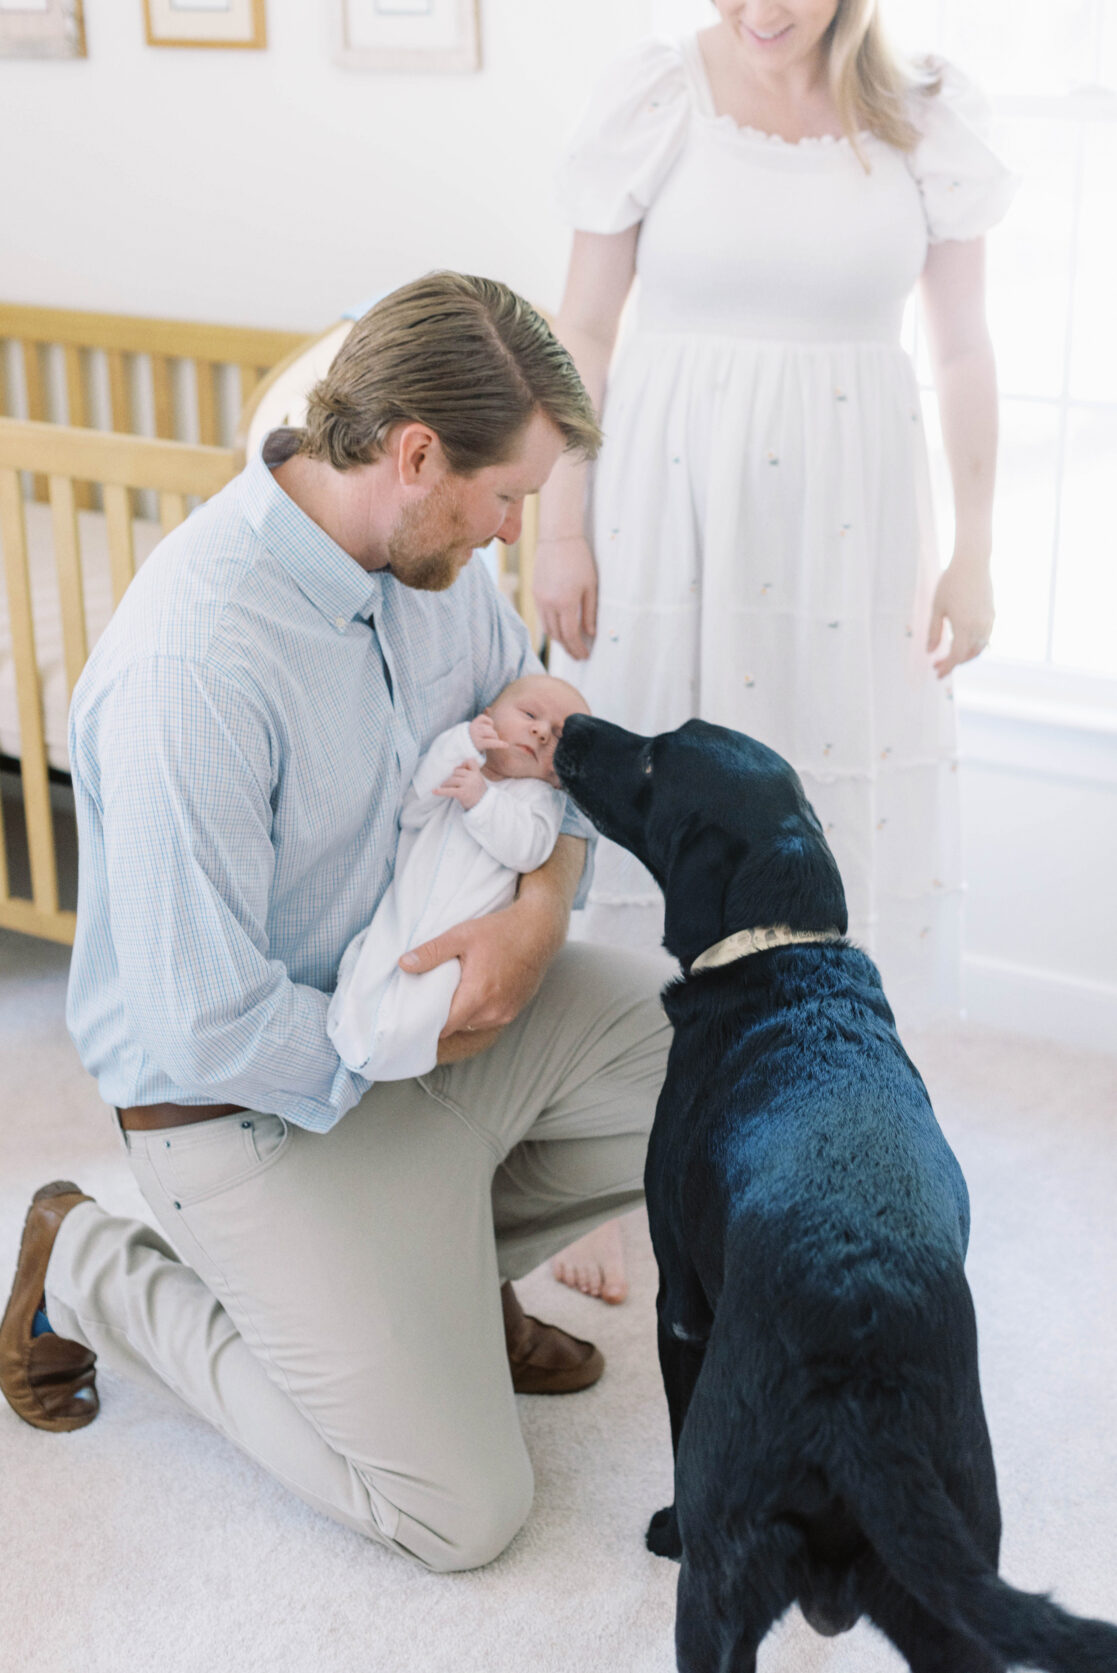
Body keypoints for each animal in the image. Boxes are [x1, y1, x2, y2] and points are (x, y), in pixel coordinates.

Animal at [555, 716, 1117, 1673]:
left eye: (655, 756)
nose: (566, 723)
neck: (785, 953)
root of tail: (859, 1380)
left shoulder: (680, 1300)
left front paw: (663, 1527)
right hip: (955, 1595)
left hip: (718, 1588)